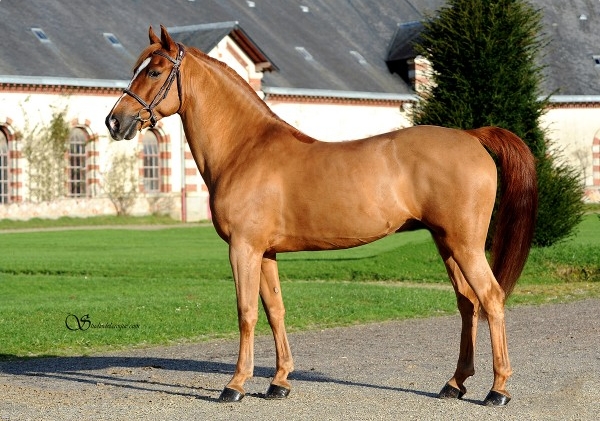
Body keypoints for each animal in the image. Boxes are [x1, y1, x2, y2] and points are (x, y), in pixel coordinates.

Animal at [105, 25, 536, 404]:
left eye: (155, 71)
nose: (115, 121)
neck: (246, 149)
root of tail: (471, 136)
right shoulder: (265, 252)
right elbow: (275, 310)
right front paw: (279, 382)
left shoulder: (243, 248)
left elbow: (246, 313)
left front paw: (236, 385)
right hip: (446, 243)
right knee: (468, 303)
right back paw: (454, 383)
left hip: (466, 244)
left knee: (491, 298)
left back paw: (498, 390)